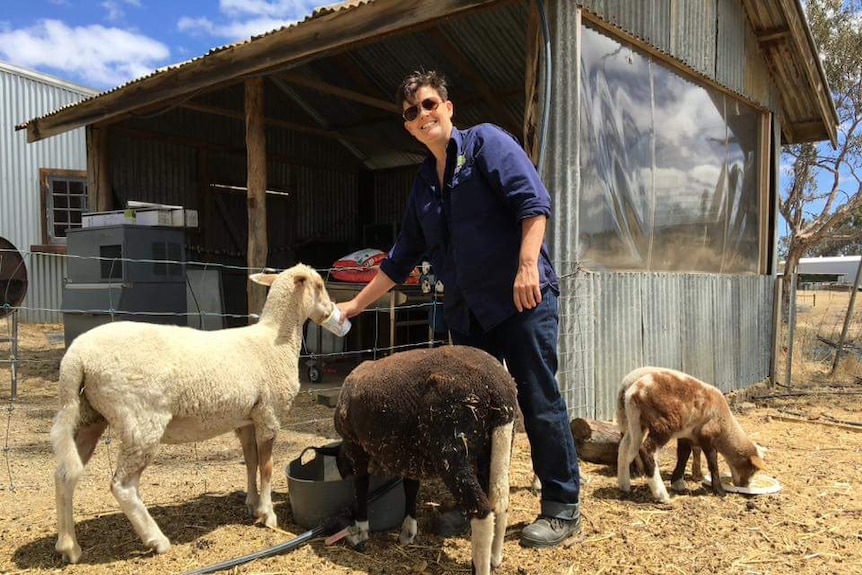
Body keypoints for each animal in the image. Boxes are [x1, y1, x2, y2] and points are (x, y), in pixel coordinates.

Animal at [49, 264, 340, 564]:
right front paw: (267, 514)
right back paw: (157, 540)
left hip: (88, 416)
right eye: (319, 285)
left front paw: (252, 503)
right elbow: (267, 466)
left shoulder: (246, 419)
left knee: (65, 476)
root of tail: (76, 358)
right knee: (123, 486)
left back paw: (69, 546)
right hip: (140, 421)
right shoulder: (269, 415)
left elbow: (251, 462)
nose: (331, 310)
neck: (274, 341)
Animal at [334, 346, 516, 575]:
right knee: (499, 502)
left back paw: (480, 566)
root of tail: (499, 390)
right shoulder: (410, 456)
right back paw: (495, 557)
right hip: (496, 446)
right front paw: (408, 532)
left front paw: (361, 529)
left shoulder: (355, 445)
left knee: (482, 512)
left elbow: (361, 486)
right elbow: (411, 488)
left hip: (452, 452)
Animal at [616, 368, 768, 504]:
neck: (726, 429)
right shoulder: (706, 435)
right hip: (663, 424)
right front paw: (719, 491)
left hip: (637, 422)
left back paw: (624, 485)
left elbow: (683, 455)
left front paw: (677, 482)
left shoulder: (687, 434)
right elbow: (713, 462)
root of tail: (632, 392)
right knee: (646, 450)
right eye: (752, 469)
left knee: (624, 449)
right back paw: (661, 495)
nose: (744, 486)